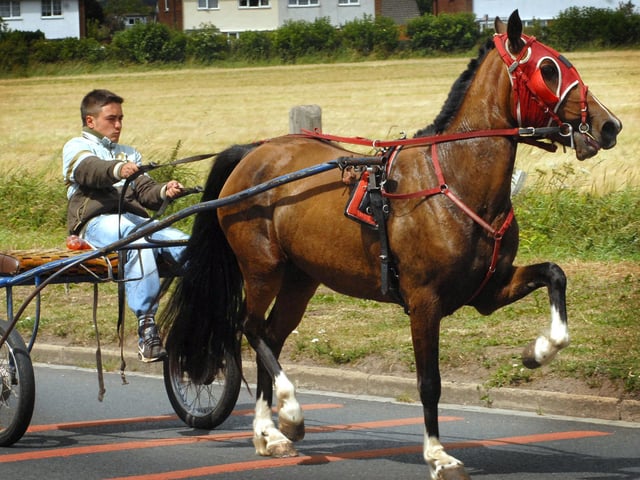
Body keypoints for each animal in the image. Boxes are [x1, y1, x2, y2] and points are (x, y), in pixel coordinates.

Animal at [160, 10, 621, 480]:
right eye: (549, 68)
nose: (609, 125)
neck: (452, 179)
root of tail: (255, 153)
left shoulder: (490, 290)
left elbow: (555, 275)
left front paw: (538, 351)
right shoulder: (424, 301)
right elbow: (429, 382)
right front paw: (437, 454)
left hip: (300, 279)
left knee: (270, 335)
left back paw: (268, 432)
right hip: (262, 268)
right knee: (249, 329)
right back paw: (287, 413)